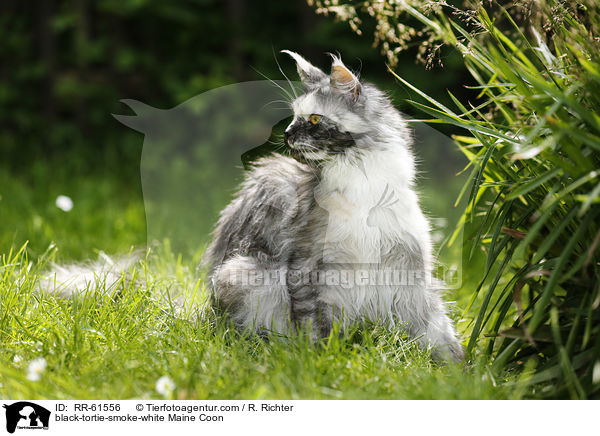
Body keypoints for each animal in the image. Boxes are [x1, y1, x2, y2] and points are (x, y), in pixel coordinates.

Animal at [204, 50, 462, 362]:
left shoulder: (410, 271)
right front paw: (320, 360)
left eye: (315, 119)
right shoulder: (310, 268)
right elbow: (314, 327)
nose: (287, 133)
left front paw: (460, 368)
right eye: (294, 116)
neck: (364, 188)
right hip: (240, 272)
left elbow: (437, 331)